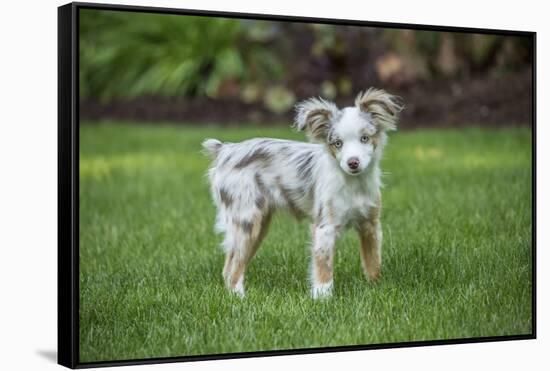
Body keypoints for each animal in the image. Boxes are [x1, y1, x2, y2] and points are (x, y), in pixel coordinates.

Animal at [203, 89, 406, 300]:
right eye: (337, 143)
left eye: (365, 138)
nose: (353, 162)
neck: (353, 184)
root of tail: (226, 150)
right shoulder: (325, 228)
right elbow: (324, 267)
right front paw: (323, 298)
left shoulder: (370, 224)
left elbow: (373, 261)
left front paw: (375, 287)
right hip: (246, 220)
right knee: (234, 267)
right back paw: (240, 297)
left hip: (258, 226)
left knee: (229, 265)